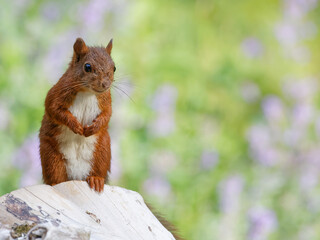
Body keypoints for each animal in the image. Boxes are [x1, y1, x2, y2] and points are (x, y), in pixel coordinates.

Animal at [39, 37, 114, 192]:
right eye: (87, 67)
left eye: (114, 68)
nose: (105, 84)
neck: (87, 92)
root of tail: (78, 176)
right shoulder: (57, 93)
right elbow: (54, 109)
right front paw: (76, 126)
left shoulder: (106, 101)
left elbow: (107, 115)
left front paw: (93, 127)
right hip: (51, 156)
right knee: (56, 176)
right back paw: (55, 184)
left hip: (102, 152)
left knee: (98, 170)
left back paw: (96, 179)